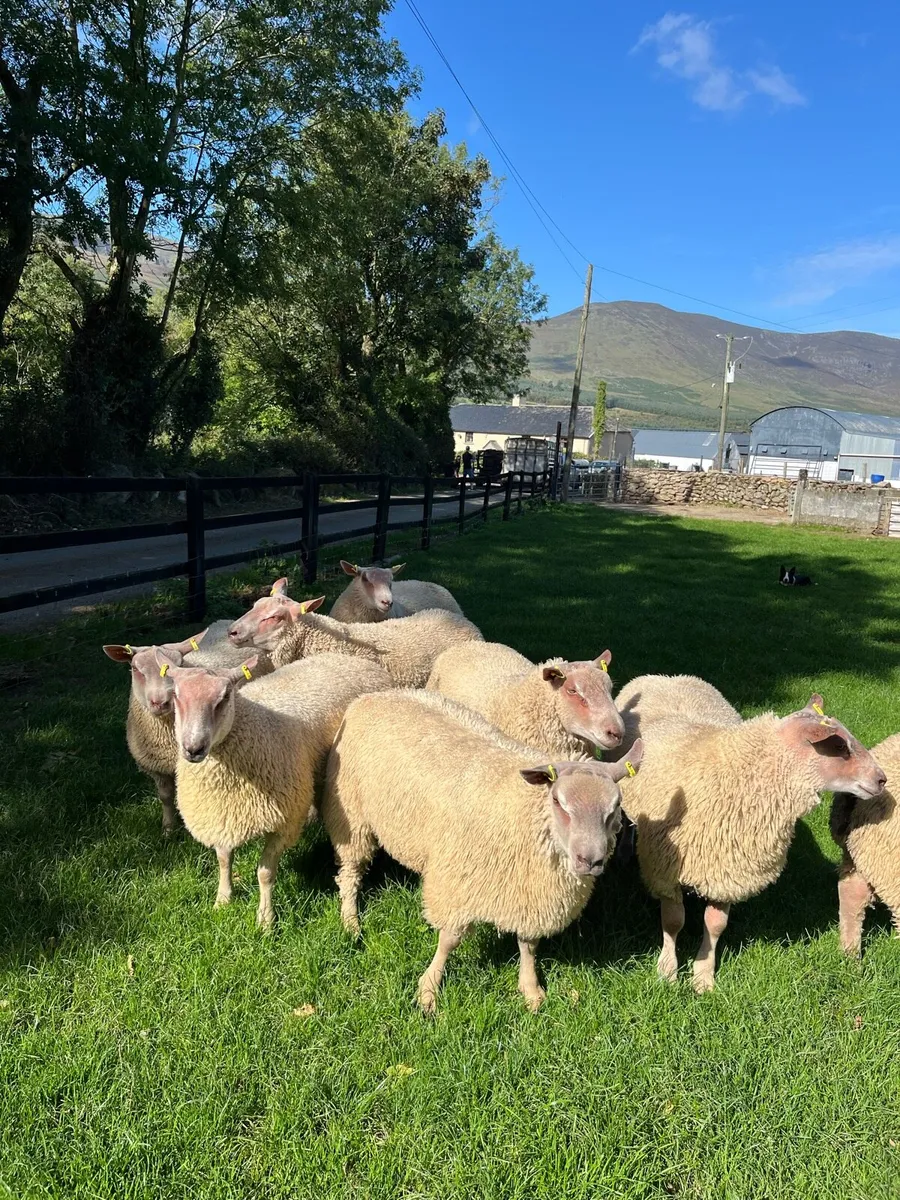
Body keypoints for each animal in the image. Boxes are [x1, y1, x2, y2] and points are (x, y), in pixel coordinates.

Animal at [162, 651, 393, 928]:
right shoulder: (222, 814)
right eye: (176, 695)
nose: (193, 748)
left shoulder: (284, 822)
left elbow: (265, 873)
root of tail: (354, 659)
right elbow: (224, 860)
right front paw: (223, 899)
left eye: (225, 697)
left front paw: (266, 920)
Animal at [322, 687, 643, 1012]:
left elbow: (528, 945)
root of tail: (375, 695)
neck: (524, 810)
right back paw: (350, 921)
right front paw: (429, 989)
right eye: (557, 801)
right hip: (352, 815)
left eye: (616, 806)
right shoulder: (457, 882)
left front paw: (531, 989)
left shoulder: (530, 894)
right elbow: (449, 940)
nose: (590, 860)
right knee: (350, 872)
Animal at [618, 687, 886, 992]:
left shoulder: (728, 871)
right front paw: (668, 972)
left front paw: (703, 977)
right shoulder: (663, 868)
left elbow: (715, 926)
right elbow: (674, 922)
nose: (882, 780)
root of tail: (669, 678)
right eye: (840, 747)